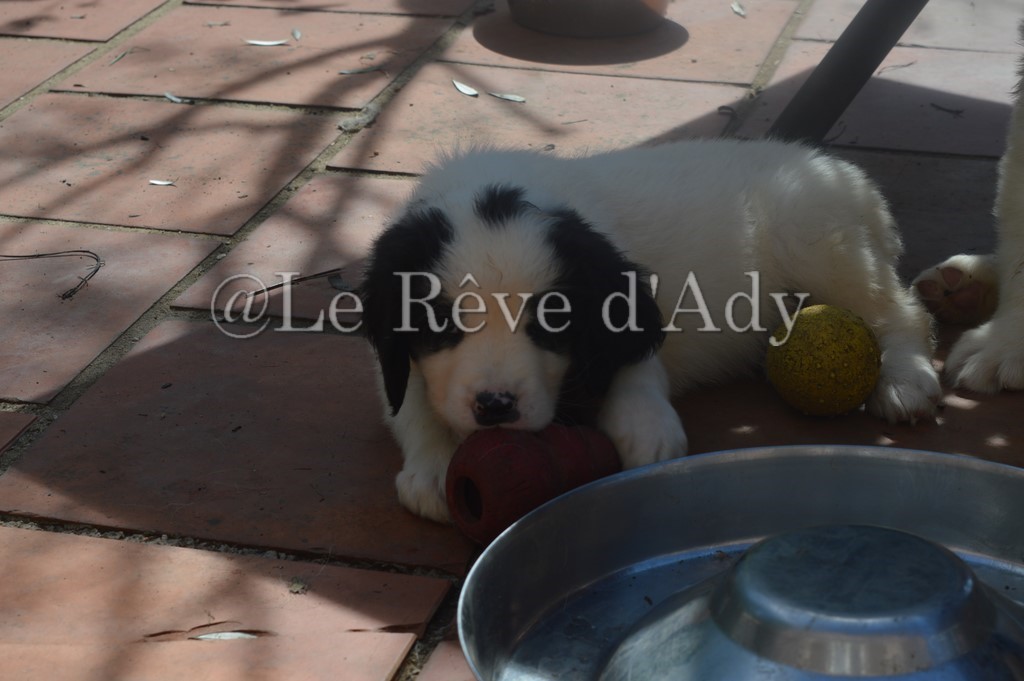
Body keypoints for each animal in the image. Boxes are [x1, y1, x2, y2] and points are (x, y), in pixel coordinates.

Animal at [360, 138, 943, 522]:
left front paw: (645, 427)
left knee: (899, 311)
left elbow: (636, 362)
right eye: (440, 323)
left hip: (817, 241)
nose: (495, 406)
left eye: (551, 321)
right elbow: (405, 399)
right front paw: (431, 466)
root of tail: (845, 174)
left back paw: (906, 380)